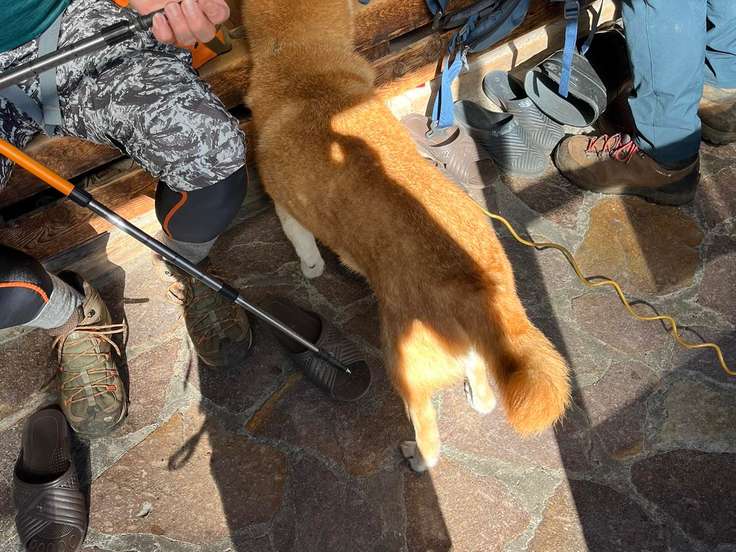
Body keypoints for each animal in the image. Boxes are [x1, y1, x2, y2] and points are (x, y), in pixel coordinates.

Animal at [242, 0, 571, 471]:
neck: (303, 68)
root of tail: (476, 287)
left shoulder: (287, 210)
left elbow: (305, 249)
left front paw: (311, 269)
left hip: (405, 368)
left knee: (428, 433)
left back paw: (417, 458)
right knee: (481, 387)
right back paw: (478, 397)